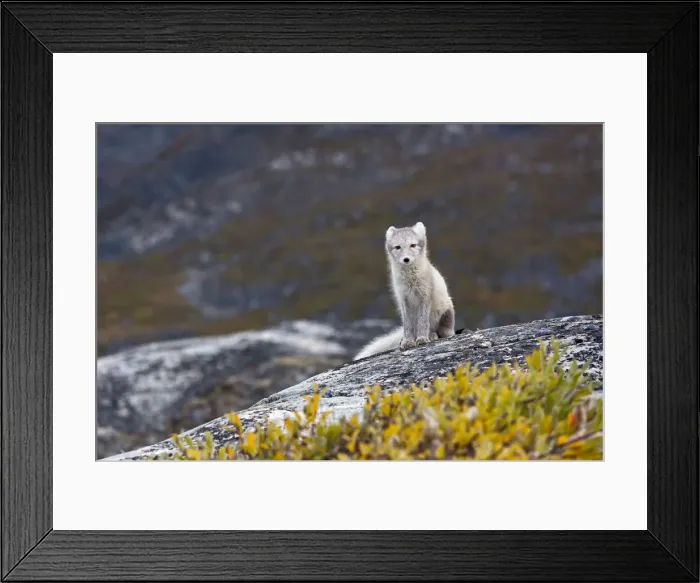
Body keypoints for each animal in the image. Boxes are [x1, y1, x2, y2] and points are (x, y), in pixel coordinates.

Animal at [354, 221, 455, 360]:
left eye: (413, 245)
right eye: (397, 247)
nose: (406, 259)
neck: (410, 279)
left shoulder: (425, 297)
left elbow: (423, 321)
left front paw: (422, 339)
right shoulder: (403, 299)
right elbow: (407, 325)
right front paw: (408, 341)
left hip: (446, 312)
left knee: (443, 332)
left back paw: (432, 335)